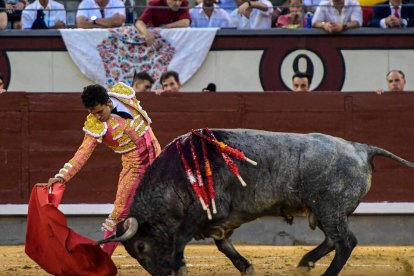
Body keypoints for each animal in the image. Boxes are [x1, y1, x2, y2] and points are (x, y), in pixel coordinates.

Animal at [99, 129, 414, 276]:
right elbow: (223, 245)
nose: (162, 274)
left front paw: (181, 267)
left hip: (330, 209)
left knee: (345, 242)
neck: (176, 173)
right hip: (325, 211)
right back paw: (305, 262)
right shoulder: (220, 220)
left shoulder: (204, 211)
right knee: (332, 241)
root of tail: (361, 148)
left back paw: (323, 272)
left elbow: (180, 238)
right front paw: (246, 266)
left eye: (141, 246)